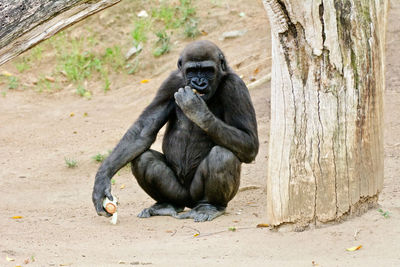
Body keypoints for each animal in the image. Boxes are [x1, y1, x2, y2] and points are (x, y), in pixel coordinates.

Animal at [92, 39, 258, 223]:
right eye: (192, 71)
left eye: (208, 70)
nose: (199, 83)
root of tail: (189, 203)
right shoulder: (170, 82)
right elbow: (143, 130)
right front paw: (102, 180)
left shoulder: (236, 86)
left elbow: (249, 141)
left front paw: (198, 110)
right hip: (179, 195)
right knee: (145, 159)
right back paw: (165, 204)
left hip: (196, 196)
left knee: (222, 155)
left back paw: (211, 206)